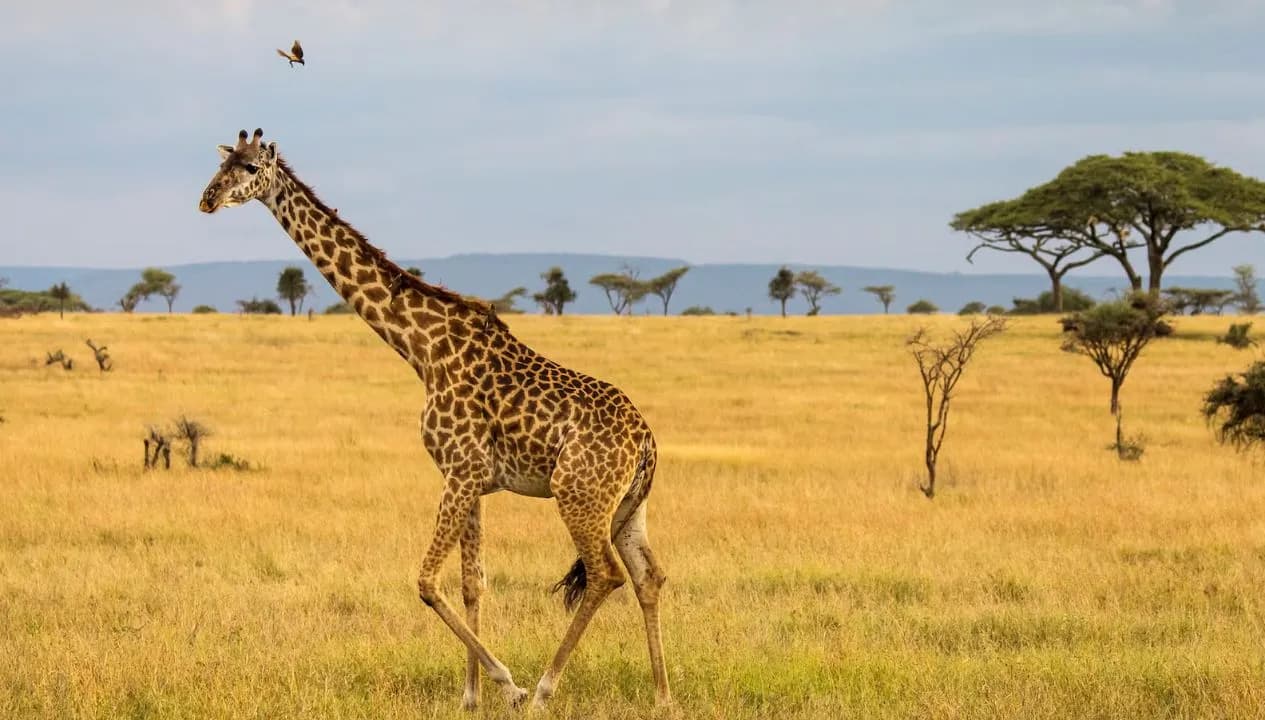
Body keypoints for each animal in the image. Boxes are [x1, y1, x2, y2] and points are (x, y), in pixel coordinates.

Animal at [198, 129, 670, 711]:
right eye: (222, 164)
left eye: (248, 168)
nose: (208, 198)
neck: (423, 349)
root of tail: (647, 443)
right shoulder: (471, 479)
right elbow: (472, 583)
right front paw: (471, 698)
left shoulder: (461, 472)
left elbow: (426, 582)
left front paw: (509, 686)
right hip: (629, 504)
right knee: (649, 576)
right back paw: (662, 697)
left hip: (578, 494)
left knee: (606, 574)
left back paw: (543, 690)